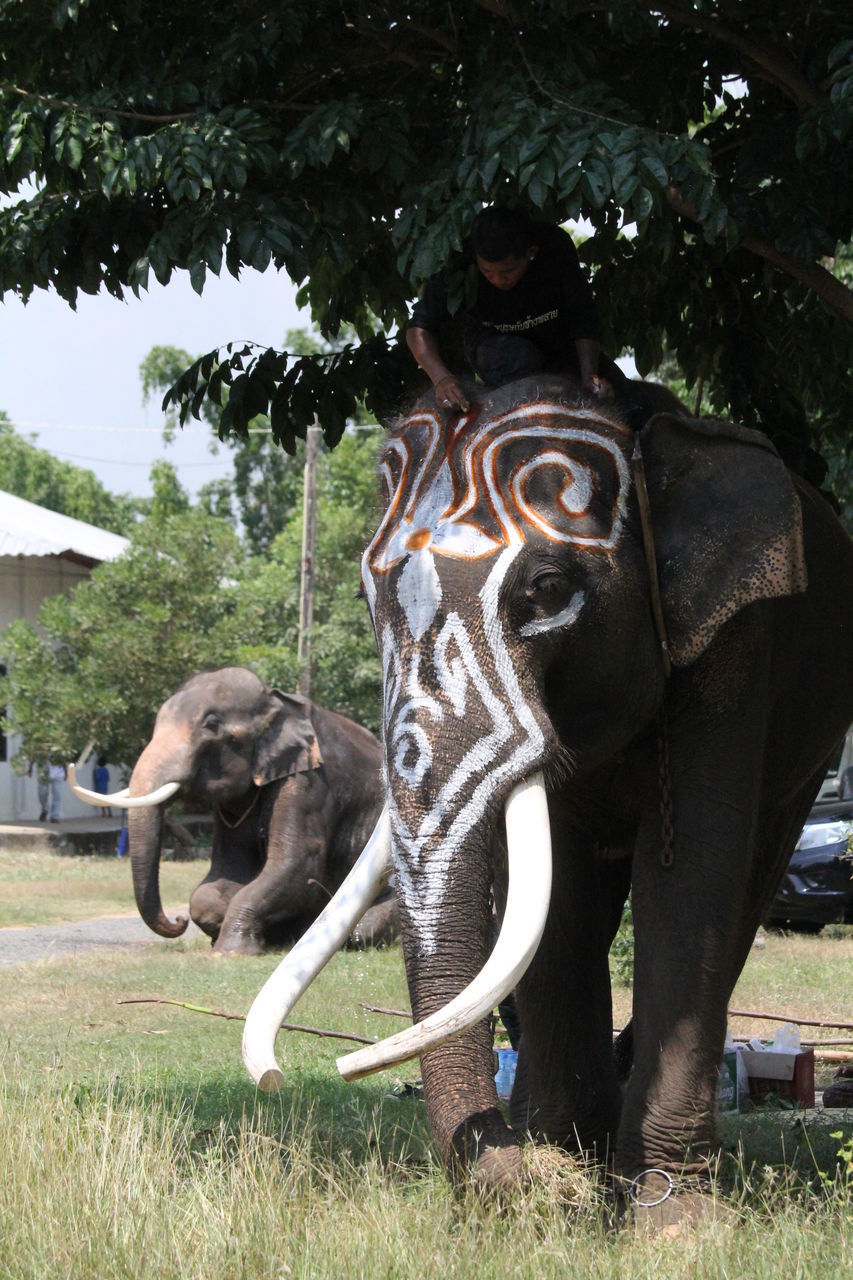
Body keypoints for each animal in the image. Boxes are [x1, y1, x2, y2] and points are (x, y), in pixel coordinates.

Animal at [69, 670, 394, 952]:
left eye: (212, 725)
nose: (178, 920)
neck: (275, 702)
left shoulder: (311, 781)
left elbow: (297, 862)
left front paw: (230, 951)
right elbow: (222, 878)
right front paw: (231, 938)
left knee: (360, 931)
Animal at [236, 376, 850, 1218]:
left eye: (549, 589)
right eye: (365, 596)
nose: (278, 1077)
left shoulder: (737, 649)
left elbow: (689, 877)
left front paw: (667, 1218)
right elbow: (558, 903)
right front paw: (562, 1176)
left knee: (748, 882)